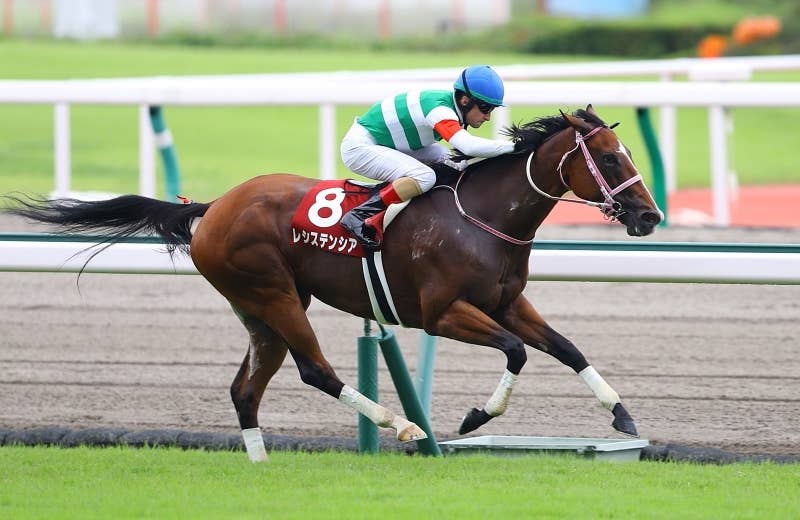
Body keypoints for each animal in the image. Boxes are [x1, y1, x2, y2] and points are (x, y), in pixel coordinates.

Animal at [5, 105, 661, 461]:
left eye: (627, 153)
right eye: (609, 158)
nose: (650, 216)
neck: (483, 215)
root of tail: (214, 207)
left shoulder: (506, 300)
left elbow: (566, 348)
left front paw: (624, 418)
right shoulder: (441, 312)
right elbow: (517, 351)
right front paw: (476, 416)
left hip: (262, 308)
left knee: (245, 389)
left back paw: (261, 464)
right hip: (272, 293)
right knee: (315, 370)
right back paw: (402, 425)